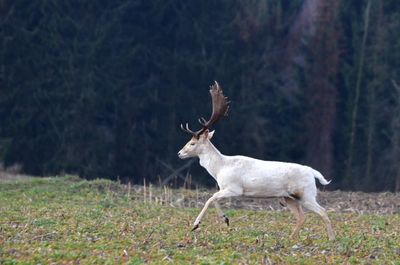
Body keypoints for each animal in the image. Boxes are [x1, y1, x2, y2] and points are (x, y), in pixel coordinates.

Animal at [177, 81, 336, 240]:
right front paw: (225, 220)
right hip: (289, 197)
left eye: (192, 143)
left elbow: (211, 198)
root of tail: (312, 172)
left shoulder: (235, 188)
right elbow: (214, 199)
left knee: (323, 211)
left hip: (306, 193)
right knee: (302, 216)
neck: (219, 168)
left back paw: (331, 239)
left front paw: (196, 225)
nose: (179, 153)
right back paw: (290, 238)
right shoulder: (225, 188)